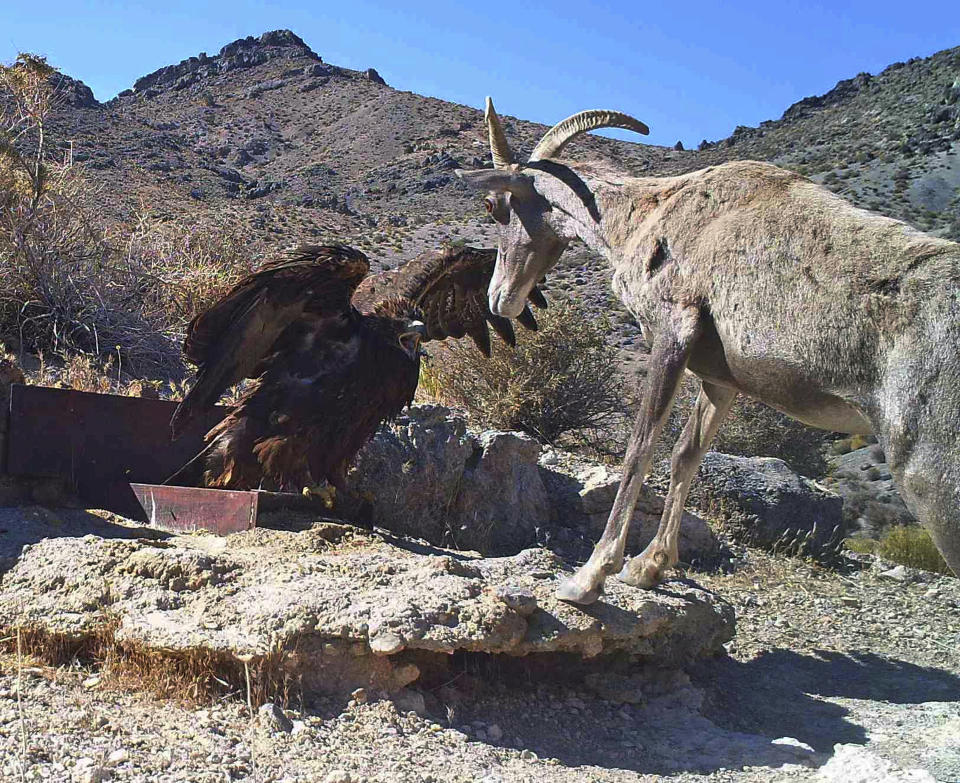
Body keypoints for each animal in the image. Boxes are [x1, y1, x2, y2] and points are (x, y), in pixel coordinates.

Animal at [456, 95, 960, 604]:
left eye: (494, 205)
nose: (500, 298)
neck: (649, 218)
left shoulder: (673, 333)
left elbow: (640, 448)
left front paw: (588, 577)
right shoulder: (719, 380)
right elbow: (686, 455)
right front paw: (647, 568)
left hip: (932, 485)